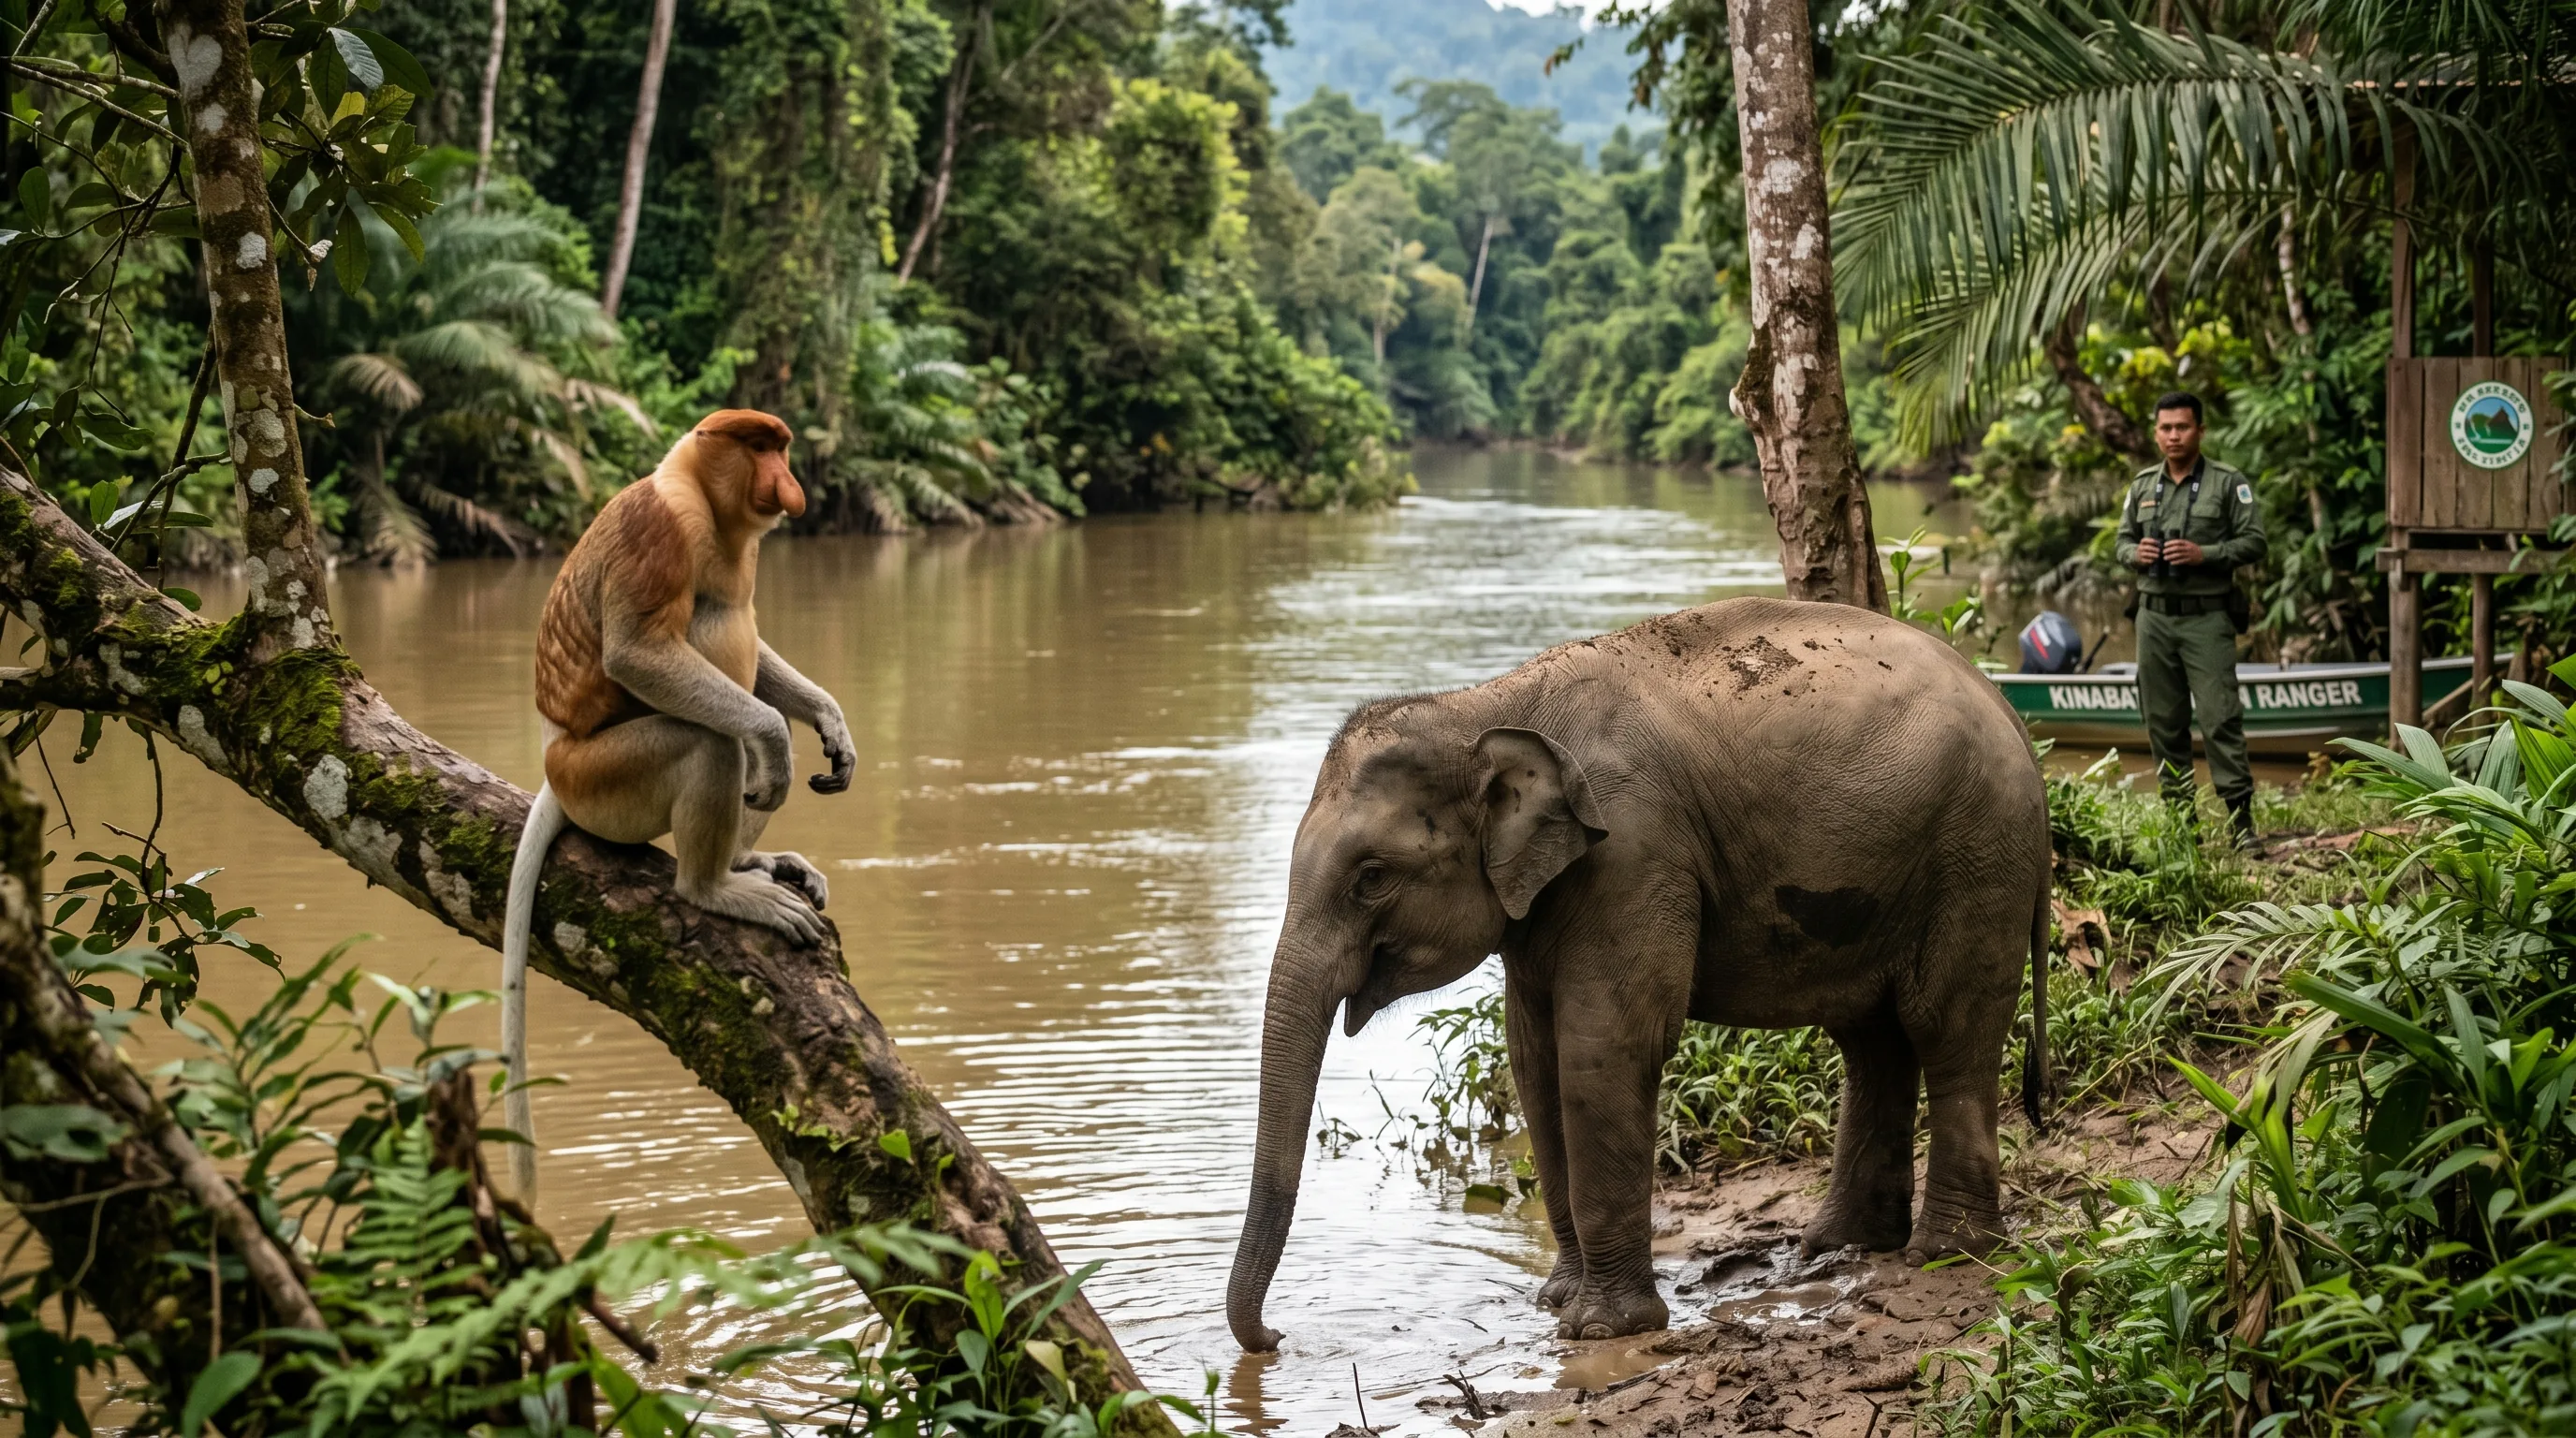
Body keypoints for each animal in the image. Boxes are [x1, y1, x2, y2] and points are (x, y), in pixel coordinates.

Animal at [1226, 597, 2051, 1350]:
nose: (1277, 1339)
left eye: (1370, 878)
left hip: (1978, 853)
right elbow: (1535, 1059)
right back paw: (1841, 1246)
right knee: (1873, 1040)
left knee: (1946, 1027)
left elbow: (1604, 1047)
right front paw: (1556, 1302)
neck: (1486, 705)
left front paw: (1602, 1329)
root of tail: (2010, 714)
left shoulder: (1634, 853)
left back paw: (1945, 1253)